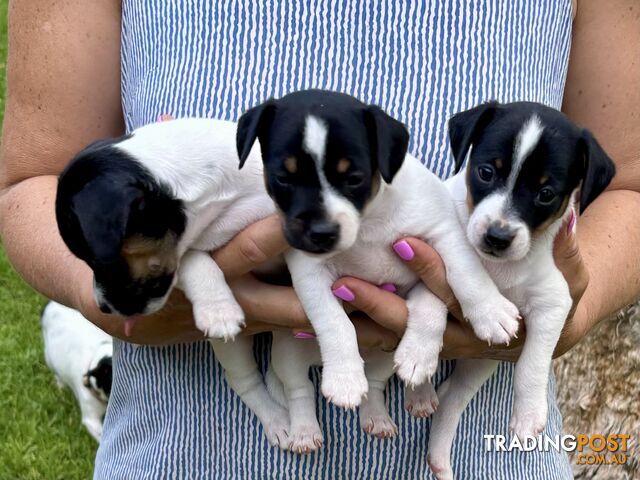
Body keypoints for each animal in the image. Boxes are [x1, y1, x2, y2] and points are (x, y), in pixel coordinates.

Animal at [238, 90, 524, 416]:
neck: (368, 223)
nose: (322, 232)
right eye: (283, 178)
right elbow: (333, 321)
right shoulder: (309, 273)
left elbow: (465, 274)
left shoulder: (442, 233)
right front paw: (345, 379)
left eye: (354, 178)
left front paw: (491, 313)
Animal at [424, 99, 616, 478]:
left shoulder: (553, 303)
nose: (497, 237)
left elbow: (533, 363)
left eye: (546, 194)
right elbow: (450, 285)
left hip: (482, 361)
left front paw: (528, 416)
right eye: (486, 172)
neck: (501, 269)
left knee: (452, 395)